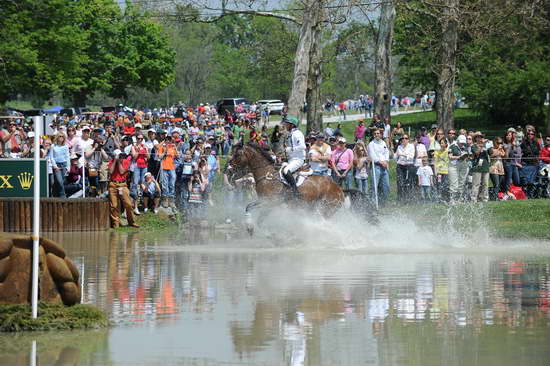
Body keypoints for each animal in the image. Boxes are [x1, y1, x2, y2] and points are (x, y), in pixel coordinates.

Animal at [230, 142, 380, 232]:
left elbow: (252, 212)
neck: (267, 175)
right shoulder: (267, 203)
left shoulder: (270, 202)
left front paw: (251, 228)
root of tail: (339, 189)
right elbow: (254, 212)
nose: (229, 167)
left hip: (326, 209)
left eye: (237, 154)